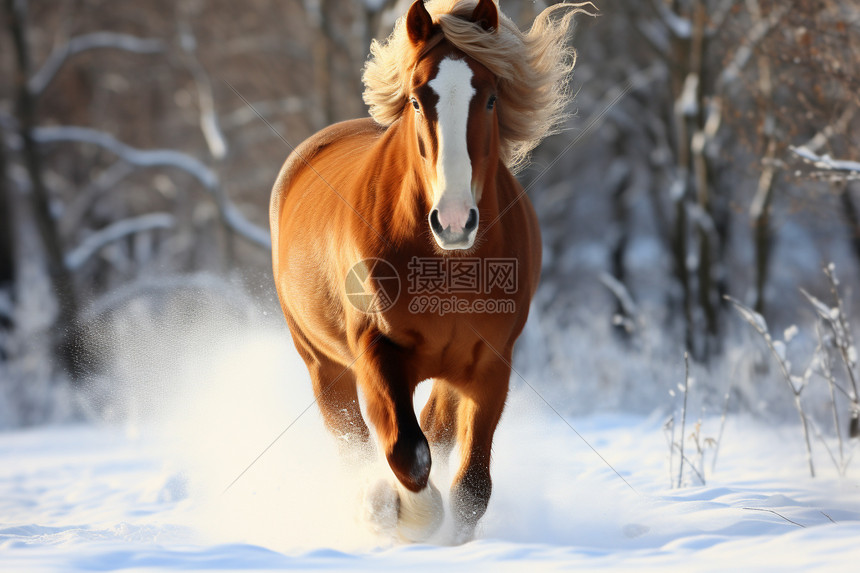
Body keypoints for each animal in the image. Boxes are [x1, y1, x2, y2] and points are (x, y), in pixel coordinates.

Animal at [272, 0, 588, 540]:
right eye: (418, 100)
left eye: (490, 98)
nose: (454, 221)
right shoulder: (376, 352)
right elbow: (406, 451)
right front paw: (400, 515)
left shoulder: (489, 363)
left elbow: (471, 487)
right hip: (322, 364)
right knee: (355, 439)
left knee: (435, 426)